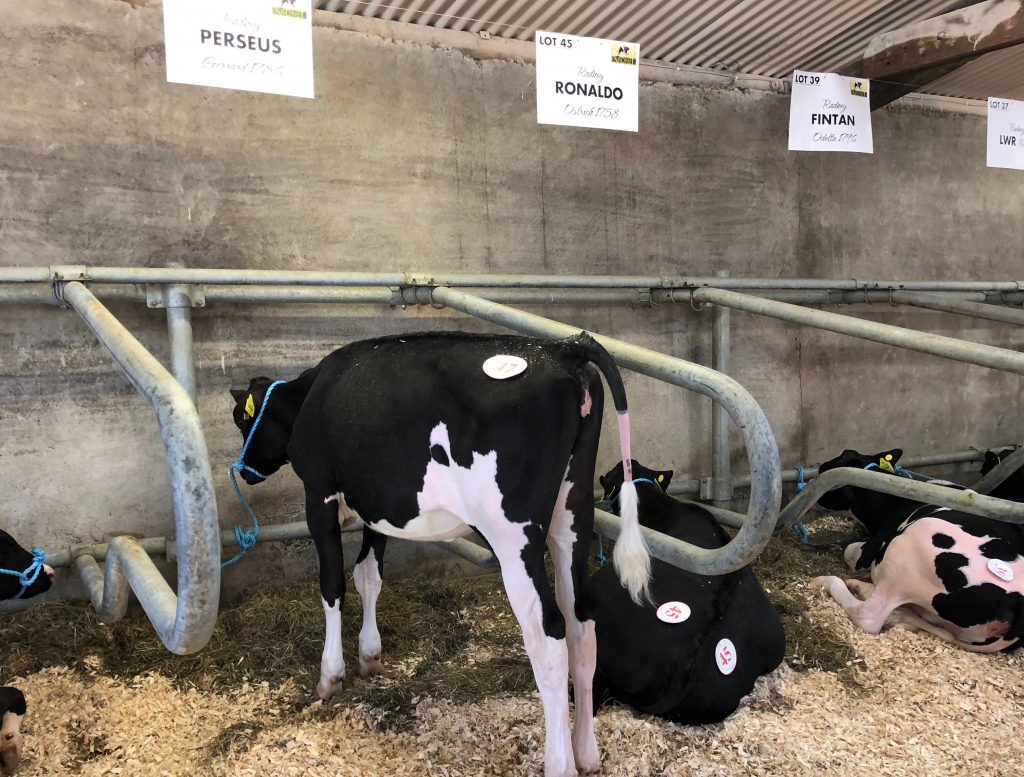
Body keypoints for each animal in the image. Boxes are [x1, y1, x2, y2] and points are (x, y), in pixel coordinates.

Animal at [230, 331, 651, 777]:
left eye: (241, 418)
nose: (245, 471)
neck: (310, 395)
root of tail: (564, 349)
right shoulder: (379, 507)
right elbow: (368, 575)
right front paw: (370, 655)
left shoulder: (319, 496)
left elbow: (333, 586)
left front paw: (331, 676)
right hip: (573, 514)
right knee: (581, 623)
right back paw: (586, 753)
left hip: (513, 535)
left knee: (548, 635)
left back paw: (559, 763)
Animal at [810, 448, 1024, 652]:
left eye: (827, 466)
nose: (816, 472)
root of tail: (1016, 602)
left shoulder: (874, 546)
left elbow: (850, 551)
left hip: (907, 548)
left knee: (868, 615)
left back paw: (831, 582)